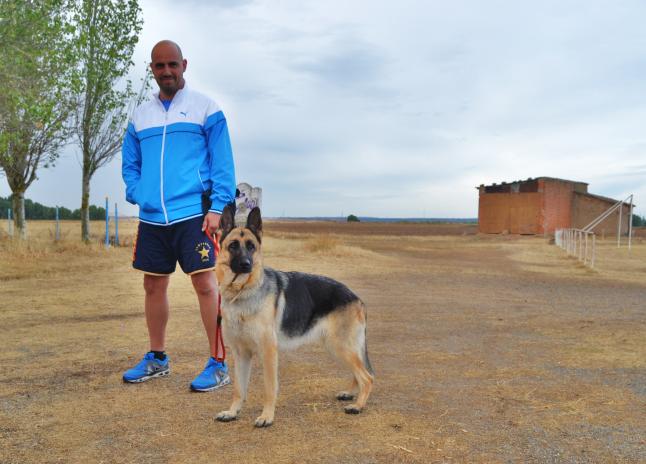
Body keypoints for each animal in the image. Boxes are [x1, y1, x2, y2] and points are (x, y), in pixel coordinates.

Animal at [214, 205, 374, 427]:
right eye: (233, 246)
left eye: (252, 247)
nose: (246, 264)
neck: (242, 292)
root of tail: (356, 297)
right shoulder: (241, 354)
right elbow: (239, 389)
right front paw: (232, 412)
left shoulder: (268, 352)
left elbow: (269, 388)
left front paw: (267, 416)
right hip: (337, 347)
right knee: (358, 374)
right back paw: (350, 394)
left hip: (340, 346)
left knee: (367, 377)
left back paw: (357, 406)